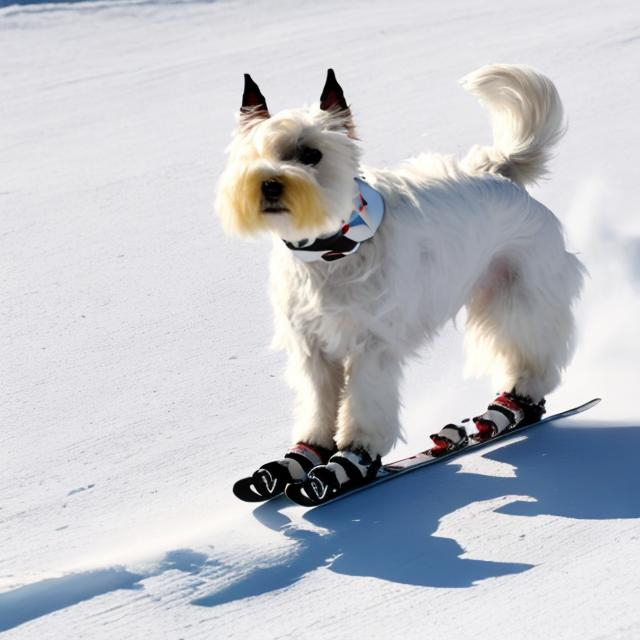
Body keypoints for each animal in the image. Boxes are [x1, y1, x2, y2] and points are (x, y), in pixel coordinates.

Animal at [220, 66, 584, 504]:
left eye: (312, 155)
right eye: (254, 155)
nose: (269, 184)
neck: (334, 251)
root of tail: (498, 171)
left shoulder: (370, 348)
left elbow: (363, 406)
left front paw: (346, 466)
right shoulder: (313, 349)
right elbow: (318, 407)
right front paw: (298, 459)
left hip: (519, 298)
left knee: (531, 364)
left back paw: (507, 411)